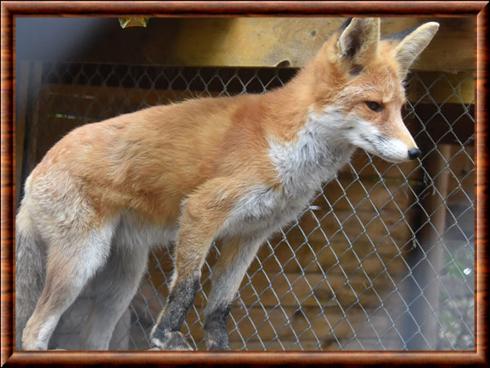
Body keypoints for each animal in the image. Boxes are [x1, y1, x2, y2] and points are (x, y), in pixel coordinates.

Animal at [15, 18, 438, 350]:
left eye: (400, 109)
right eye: (373, 106)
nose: (416, 152)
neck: (284, 148)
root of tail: (33, 175)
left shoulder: (251, 234)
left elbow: (221, 305)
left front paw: (218, 347)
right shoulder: (203, 210)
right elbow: (187, 286)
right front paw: (165, 338)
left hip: (120, 284)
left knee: (92, 339)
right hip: (81, 263)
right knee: (34, 329)